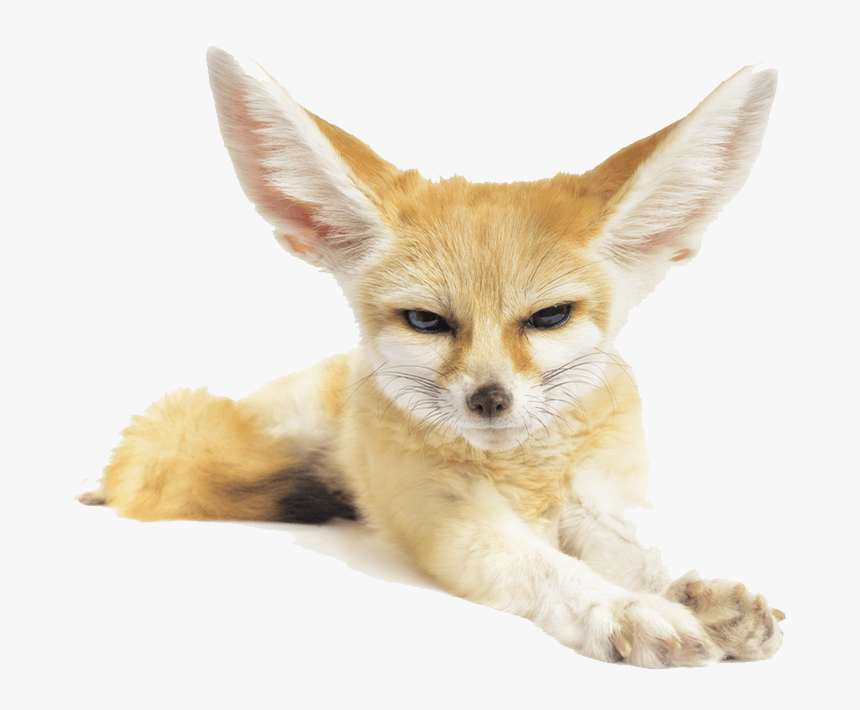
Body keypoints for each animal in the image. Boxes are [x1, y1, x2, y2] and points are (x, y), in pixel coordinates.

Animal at [78, 47, 784, 668]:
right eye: (426, 321)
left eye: (549, 317)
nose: (490, 400)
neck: (523, 477)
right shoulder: (448, 516)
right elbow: (545, 567)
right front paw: (624, 609)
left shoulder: (590, 499)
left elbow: (632, 554)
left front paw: (697, 596)